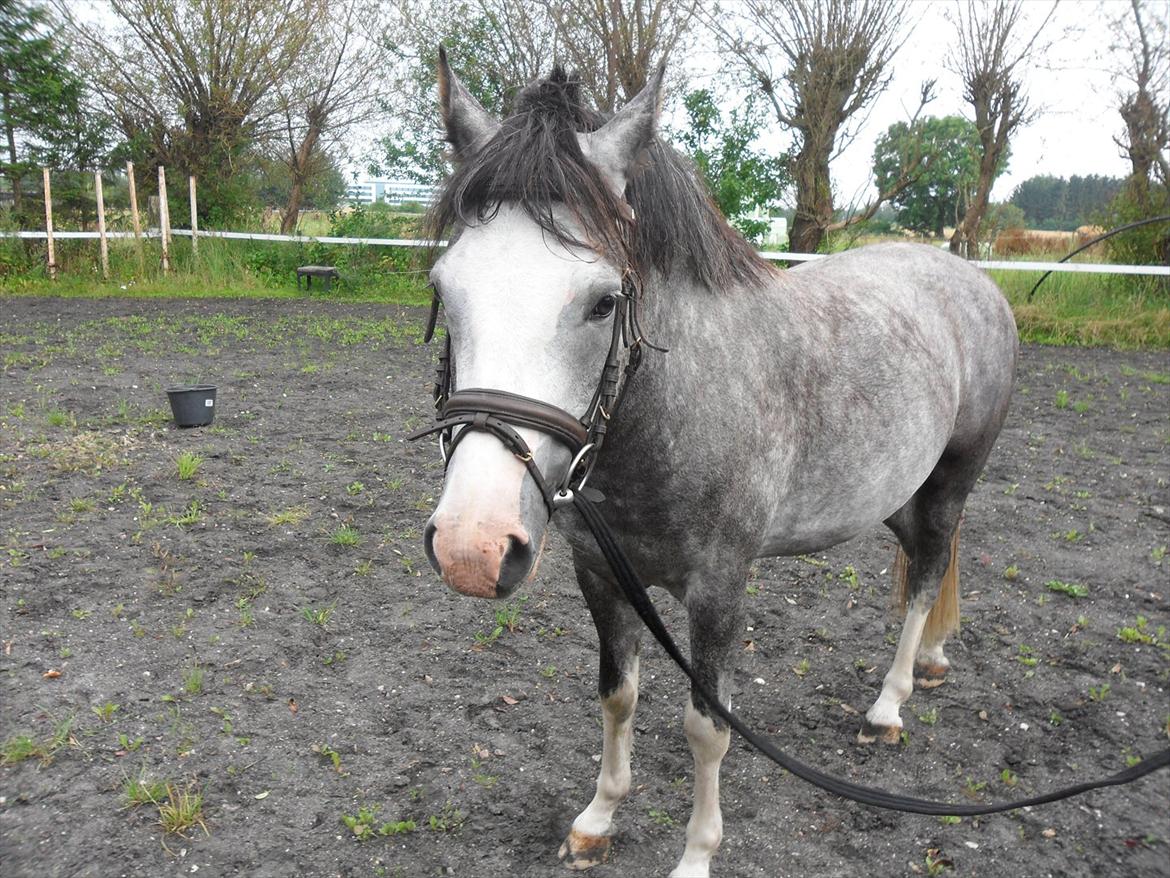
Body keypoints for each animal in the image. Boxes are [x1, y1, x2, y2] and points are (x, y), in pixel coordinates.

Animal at [418, 56, 1015, 878]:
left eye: (603, 302)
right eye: (443, 289)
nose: (471, 548)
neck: (674, 411)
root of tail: (972, 279)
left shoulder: (720, 589)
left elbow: (708, 727)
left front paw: (696, 854)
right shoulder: (600, 574)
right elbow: (617, 694)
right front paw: (598, 819)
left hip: (952, 482)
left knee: (926, 577)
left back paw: (890, 704)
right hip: (899, 493)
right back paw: (929, 662)